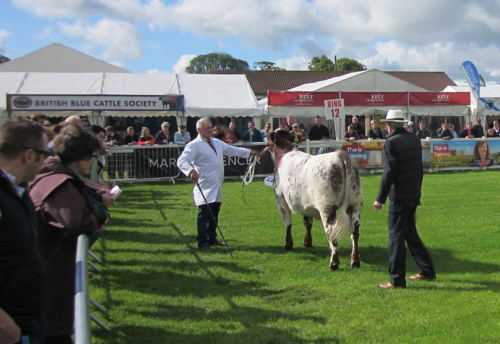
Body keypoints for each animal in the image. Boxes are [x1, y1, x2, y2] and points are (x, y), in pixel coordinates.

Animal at [270, 130, 364, 272]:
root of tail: (339, 156)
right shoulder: (306, 205)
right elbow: (307, 222)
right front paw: (307, 242)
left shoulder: (280, 199)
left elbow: (287, 223)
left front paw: (288, 244)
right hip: (355, 205)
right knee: (355, 233)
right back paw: (355, 262)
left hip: (327, 208)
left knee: (332, 233)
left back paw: (333, 264)